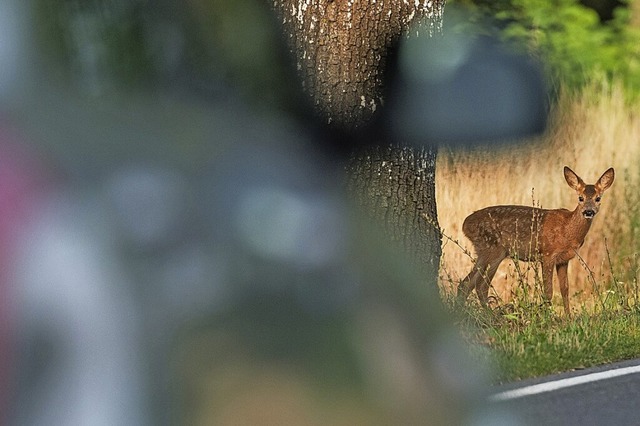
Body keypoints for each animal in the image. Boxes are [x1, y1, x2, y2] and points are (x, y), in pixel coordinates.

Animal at [458, 167, 612, 316]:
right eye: (580, 198)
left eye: (598, 198)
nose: (588, 211)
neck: (568, 230)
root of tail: (465, 224)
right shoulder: (547, 254)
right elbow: (548, 292)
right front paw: (548, 317)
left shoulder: (563, 260)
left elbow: (565, 290)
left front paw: (568, 318)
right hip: (493, 250)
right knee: (481, 286)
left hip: (484, 252)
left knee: (466, 284)